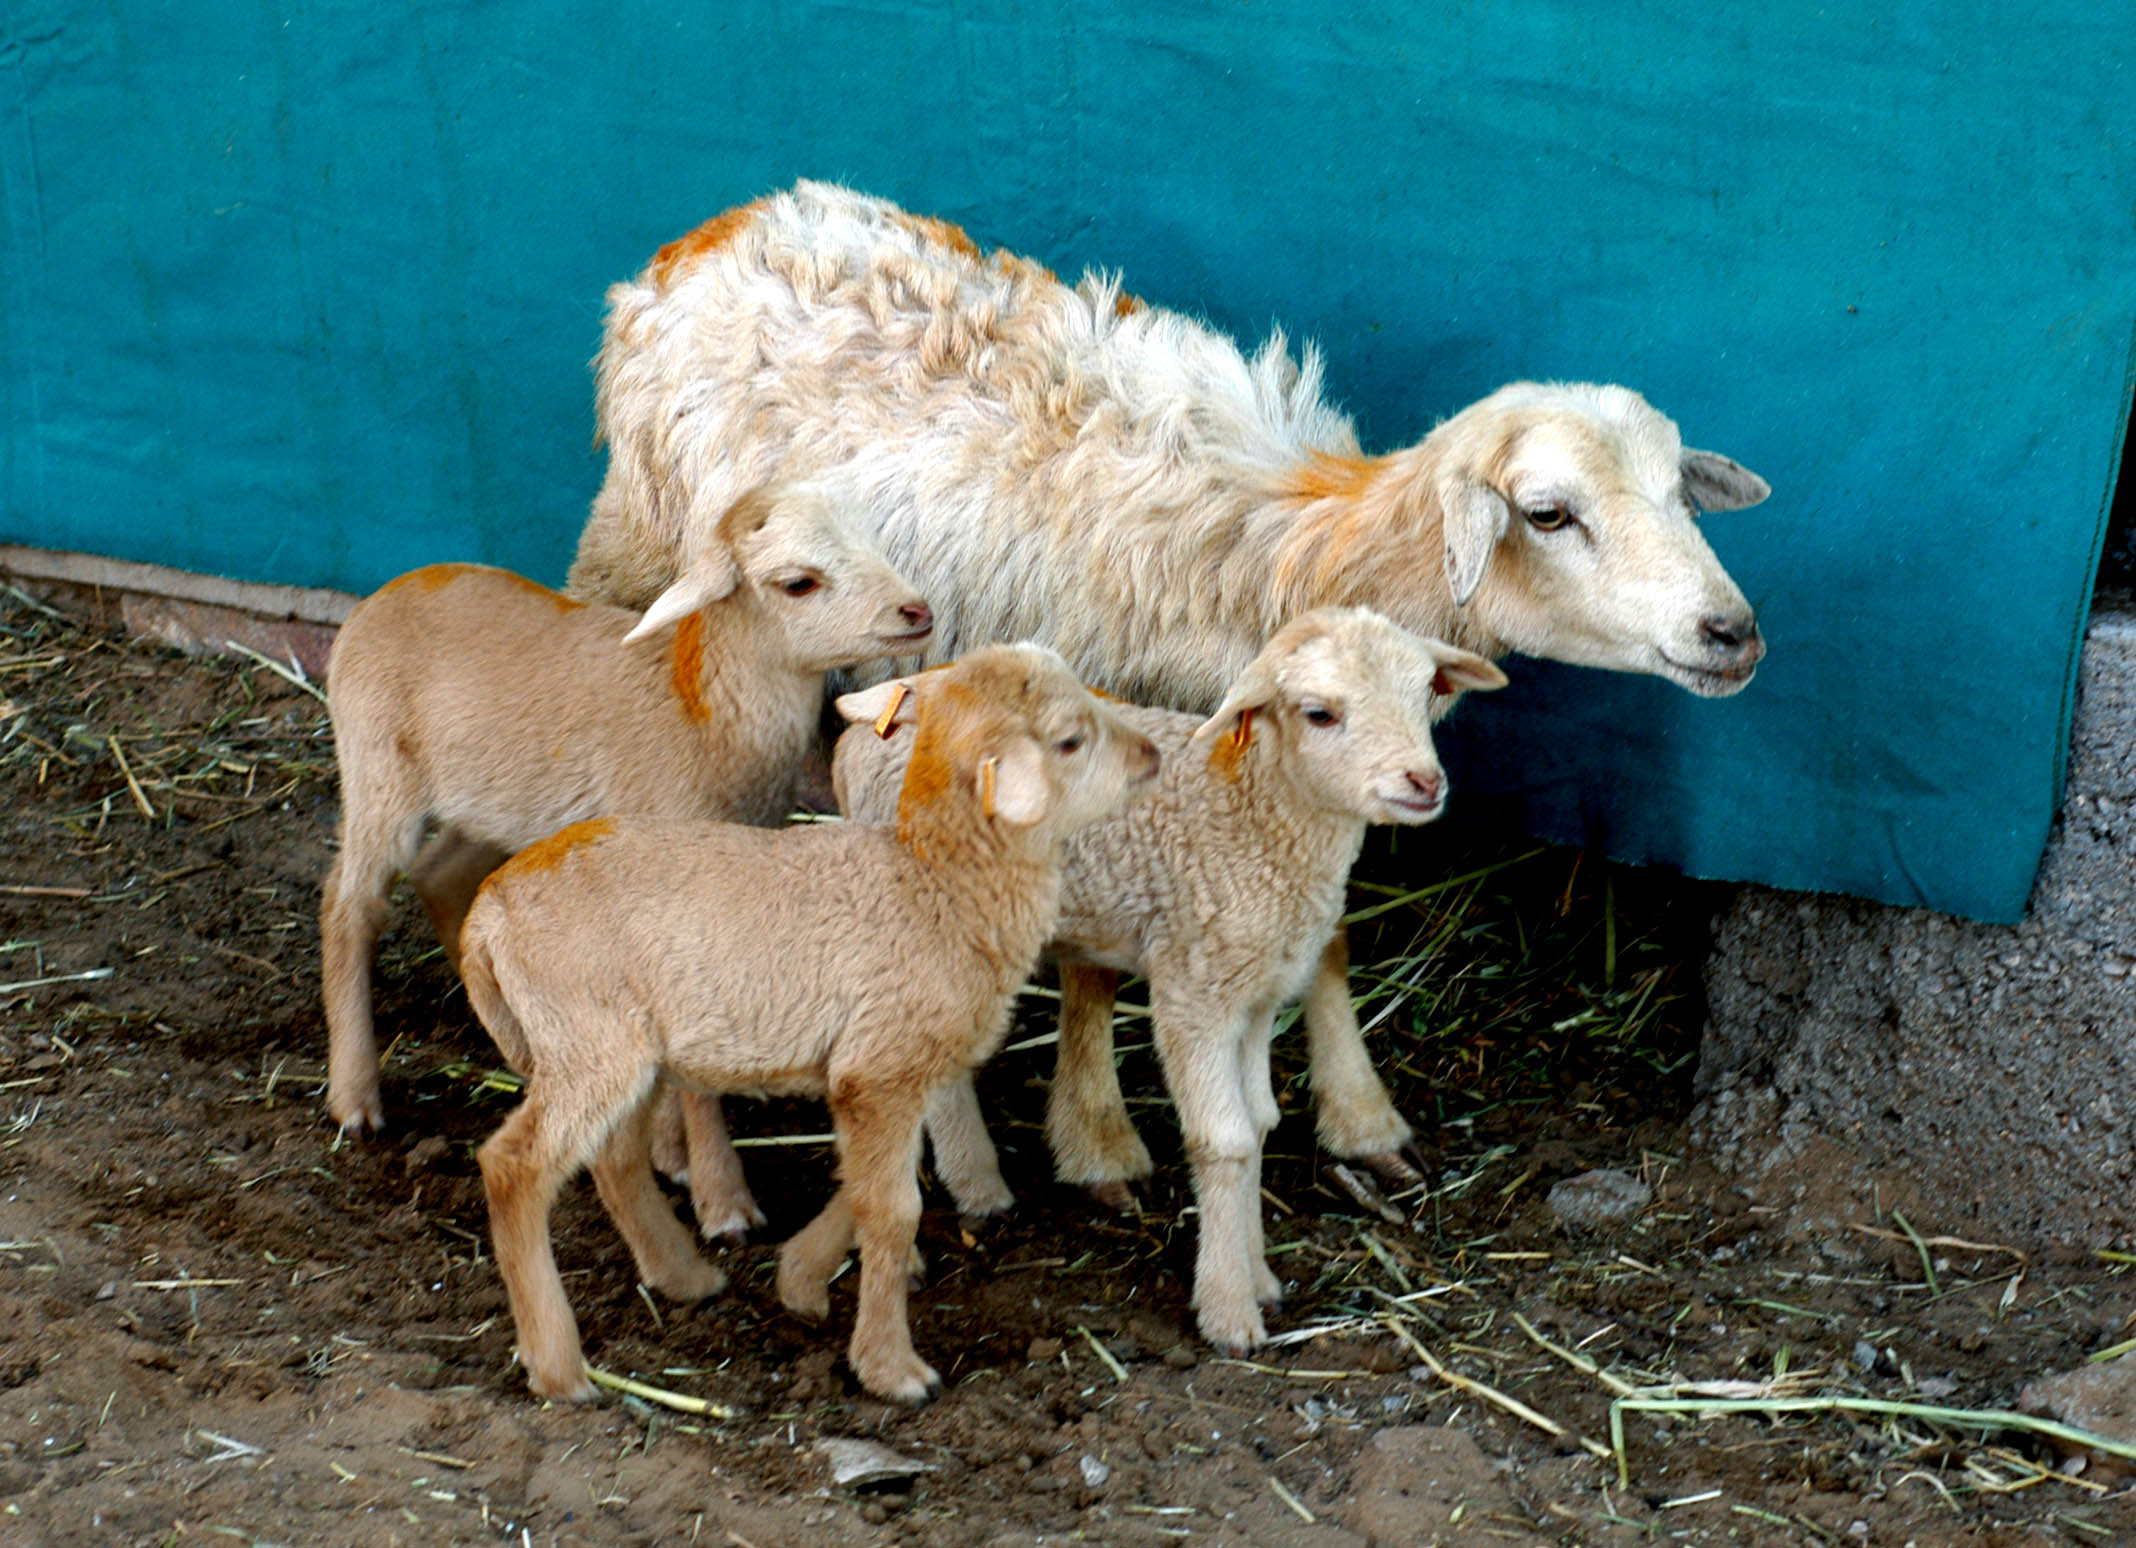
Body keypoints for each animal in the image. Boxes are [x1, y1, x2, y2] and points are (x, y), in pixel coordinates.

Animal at [311, 482, 931, 1161]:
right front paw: (672, 1150)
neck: (701, 708)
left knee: (439, 872)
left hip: (491, 798)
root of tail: (386, 594)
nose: (916, 612)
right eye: (798, 583)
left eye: (873, 539)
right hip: (377, 768)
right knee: (350, 903)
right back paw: (355, 1097)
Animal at [457, 640, 1161, 1400]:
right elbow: (893, 1211)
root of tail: (488, 912)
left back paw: (683, 1277)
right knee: (515, 1167)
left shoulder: (880, 1074)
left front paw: (799, 1281)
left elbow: (870, 1185)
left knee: (614, 1159)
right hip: (586, 1039)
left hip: (623, 1050)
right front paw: (891, 1368)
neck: (935, 884)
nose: (1151, 753)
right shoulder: (880, 1069)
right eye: (1071, 740)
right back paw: (558, 1366)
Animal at [563, 184, 1768, 1195]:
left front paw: (1356, 1119)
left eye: (1680, 492)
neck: (1304, 553)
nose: (1734, 633)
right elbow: (1096, 964)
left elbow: (1325, 935)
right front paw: (1099, 1137)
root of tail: (703, 239)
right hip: (637, 546)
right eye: (1550, 513)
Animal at [815, 606, 1503, 1349]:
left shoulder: (1255, 992)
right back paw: (954, 1201)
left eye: (1425, 691)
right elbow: (1223, 1140)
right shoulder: (1193, 987)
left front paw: (1258, 1277)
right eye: (1319, 713)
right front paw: (1227, 1310)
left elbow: (1259, 1123)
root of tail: (870, 715)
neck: (1252, 816)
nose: (1423, 783)